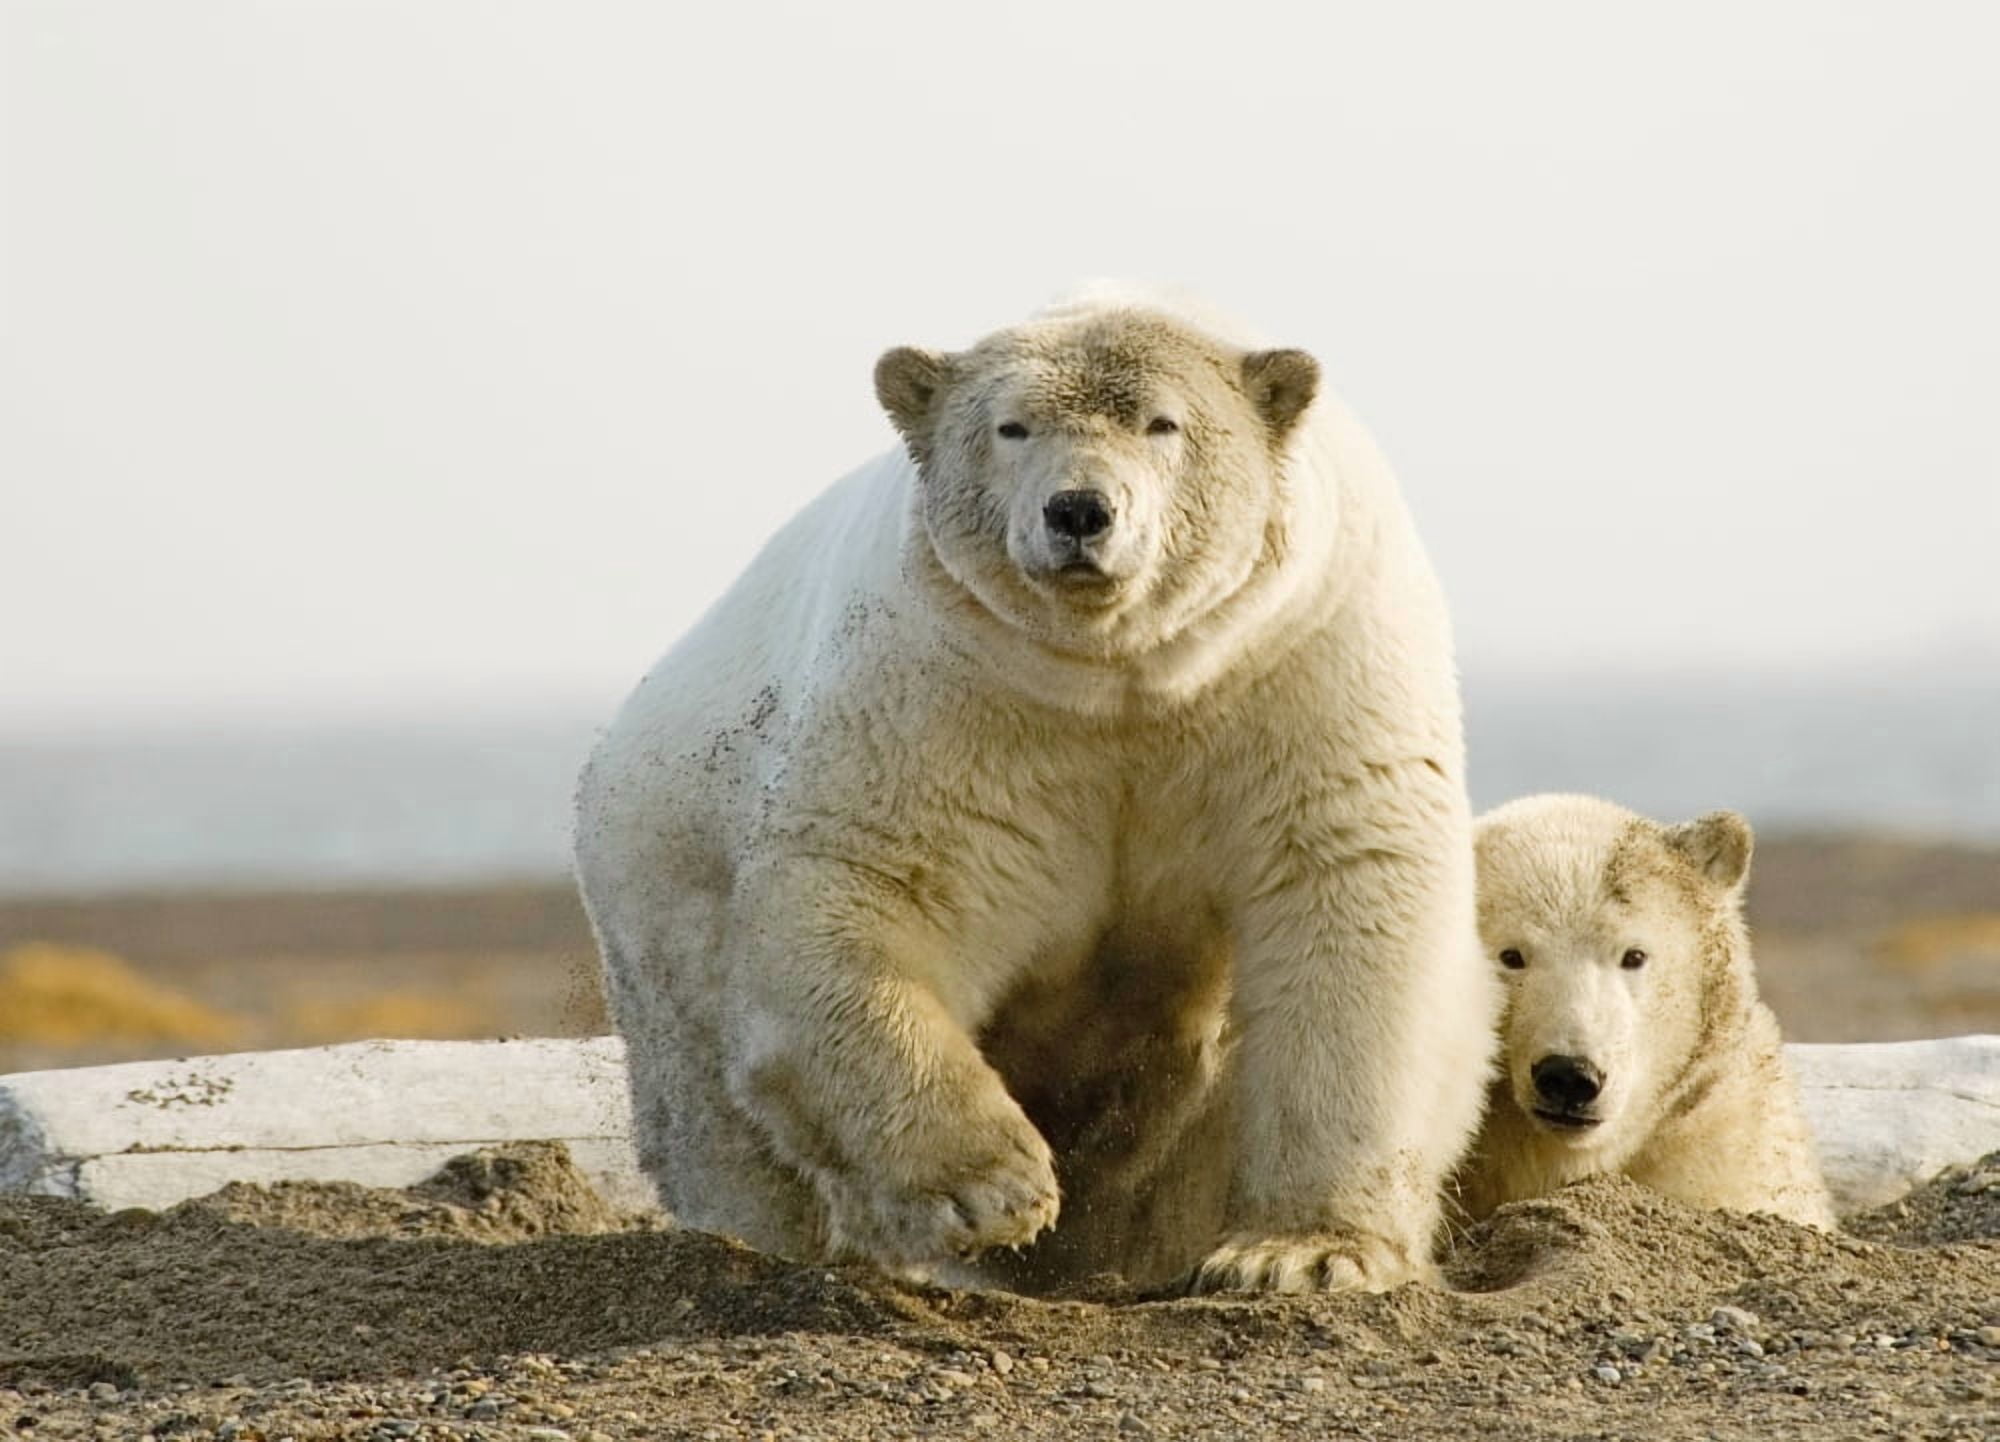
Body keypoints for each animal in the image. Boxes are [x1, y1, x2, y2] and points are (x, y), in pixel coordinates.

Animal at [572, 283, 1499, 1294]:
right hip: (663, 934)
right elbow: (881, 893)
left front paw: (1299, 1254)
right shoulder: (946, 694)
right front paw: (992, 1190)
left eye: (1162, 423)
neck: (1126, 677)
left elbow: (1346, 896)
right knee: (732, 1140)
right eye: (1011, 427)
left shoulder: (1301, 663)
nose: (1080, 510)